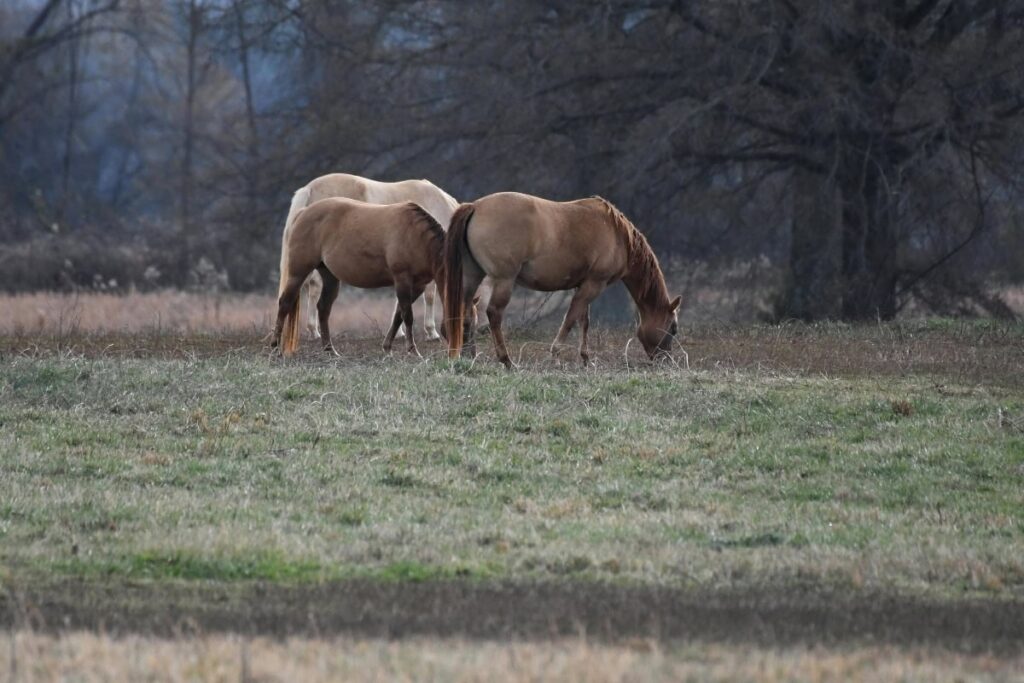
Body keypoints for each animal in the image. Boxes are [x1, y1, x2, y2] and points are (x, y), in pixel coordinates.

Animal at [273, 198, 447, 357]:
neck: (415, 235)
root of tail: (303, 213)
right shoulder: (402, 280)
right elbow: (407, 316)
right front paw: (413, 351)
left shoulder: (418, 286)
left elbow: (398, 315)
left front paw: (387, 348)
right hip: (298, 274)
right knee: (285, 304)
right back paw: (275, 348)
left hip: (330, 277)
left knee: (323, 308)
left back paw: (330, 350)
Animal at [280, 173, 487, 341]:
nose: (484, 329)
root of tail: (309, 188)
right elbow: (429, 297)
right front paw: (431, 332)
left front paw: (399, 332)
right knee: (314, 286)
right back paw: (314, 331)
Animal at [443, 192, 681, 367]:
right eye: (673, 328)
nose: (665, 361)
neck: (617, 235)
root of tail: (475, 206)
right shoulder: (594, 285)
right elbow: (570, 319)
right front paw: (556, 355)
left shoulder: (584, 285)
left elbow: (584, 321)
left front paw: (585, 359)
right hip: (504, 280)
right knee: (494, 313)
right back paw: (507, 360)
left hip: (472, 277)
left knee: (465, 312)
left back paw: (467, 356)